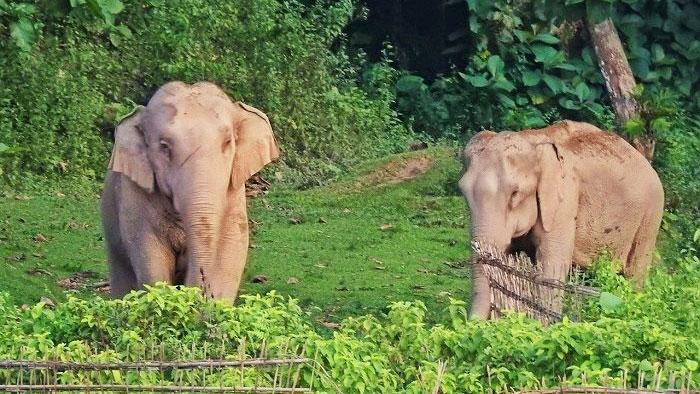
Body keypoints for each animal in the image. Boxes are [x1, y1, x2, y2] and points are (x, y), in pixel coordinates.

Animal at [100, 81, 278, 300]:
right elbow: (152, 263)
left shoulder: (233, 195)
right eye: (164, 147)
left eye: (228, 142)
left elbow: (229, 255)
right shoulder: (135, 195)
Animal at [456, 119, 664, 318]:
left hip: (651, 214)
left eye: (515, 193)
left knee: (634, 270)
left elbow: (552, 261)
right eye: (463, 191)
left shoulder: (565, 198)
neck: (534, 140)